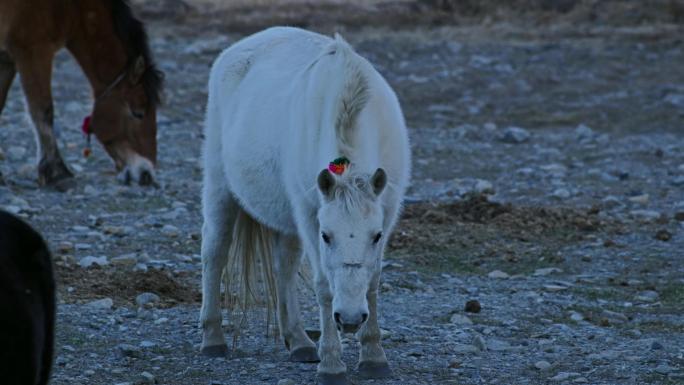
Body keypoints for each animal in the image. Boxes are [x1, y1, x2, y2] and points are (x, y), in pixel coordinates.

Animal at [0, 0, 163, 189]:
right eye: (138, 113)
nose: (147, 174)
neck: (71, 8)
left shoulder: (6, 59)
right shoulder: (33, 51)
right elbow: (43, 110)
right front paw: (58, 173)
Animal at [200, 27, 408, 384]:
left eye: (376, 236)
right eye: (327, 236)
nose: (349, 319)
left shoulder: (388, 210)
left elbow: (371, 282)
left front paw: (373, 357)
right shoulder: (310, 216)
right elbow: (324, 286)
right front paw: (332, 365)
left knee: (283, 268)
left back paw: (298, 341)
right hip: (220, 188)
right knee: (215, 252)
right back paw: (213, 338)